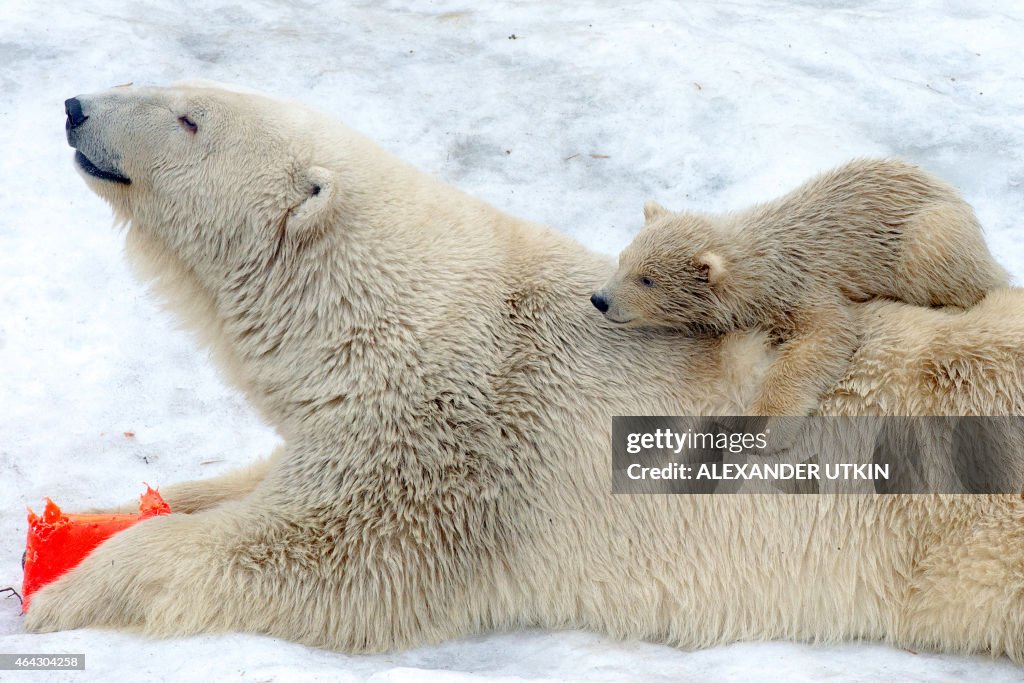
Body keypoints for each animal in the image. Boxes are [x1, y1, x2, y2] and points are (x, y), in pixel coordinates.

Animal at [24, 82, 1024, 663]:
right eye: (161, 84)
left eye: (187, 115)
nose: (72, 105)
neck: (395, 313)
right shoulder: (356, 420)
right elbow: (246, 483)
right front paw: (95, 517)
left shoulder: (446, 448)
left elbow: (327, 553)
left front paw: (65, 595)